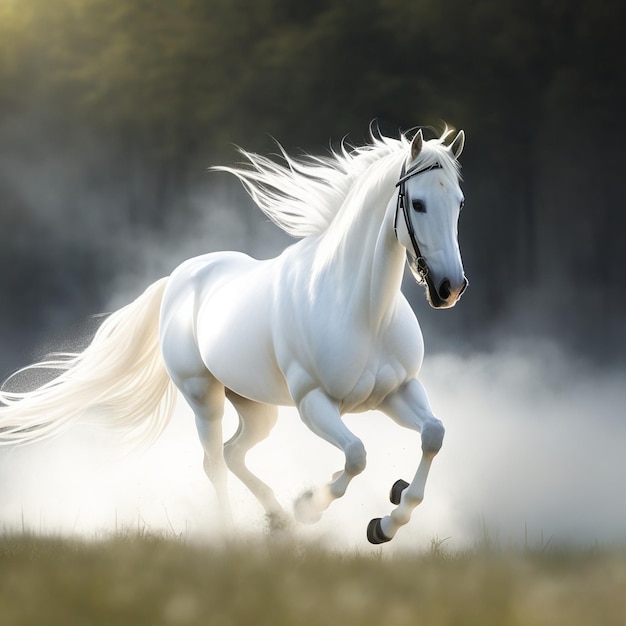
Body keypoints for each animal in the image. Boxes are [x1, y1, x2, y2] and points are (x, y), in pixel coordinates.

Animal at [0, 127, 464, 540]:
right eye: (418, 203)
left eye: (459, 202)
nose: (450, 289)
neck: (364, 312)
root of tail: (178, 279)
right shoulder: (314, 402)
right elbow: (355, 456)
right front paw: (310, 506)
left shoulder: (397, 391)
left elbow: (434, 436)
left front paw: (389, 517)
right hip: (204, 397)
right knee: (215, 462)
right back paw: (232, 533)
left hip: (257, 407)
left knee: (233, 453)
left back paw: (276, 518)